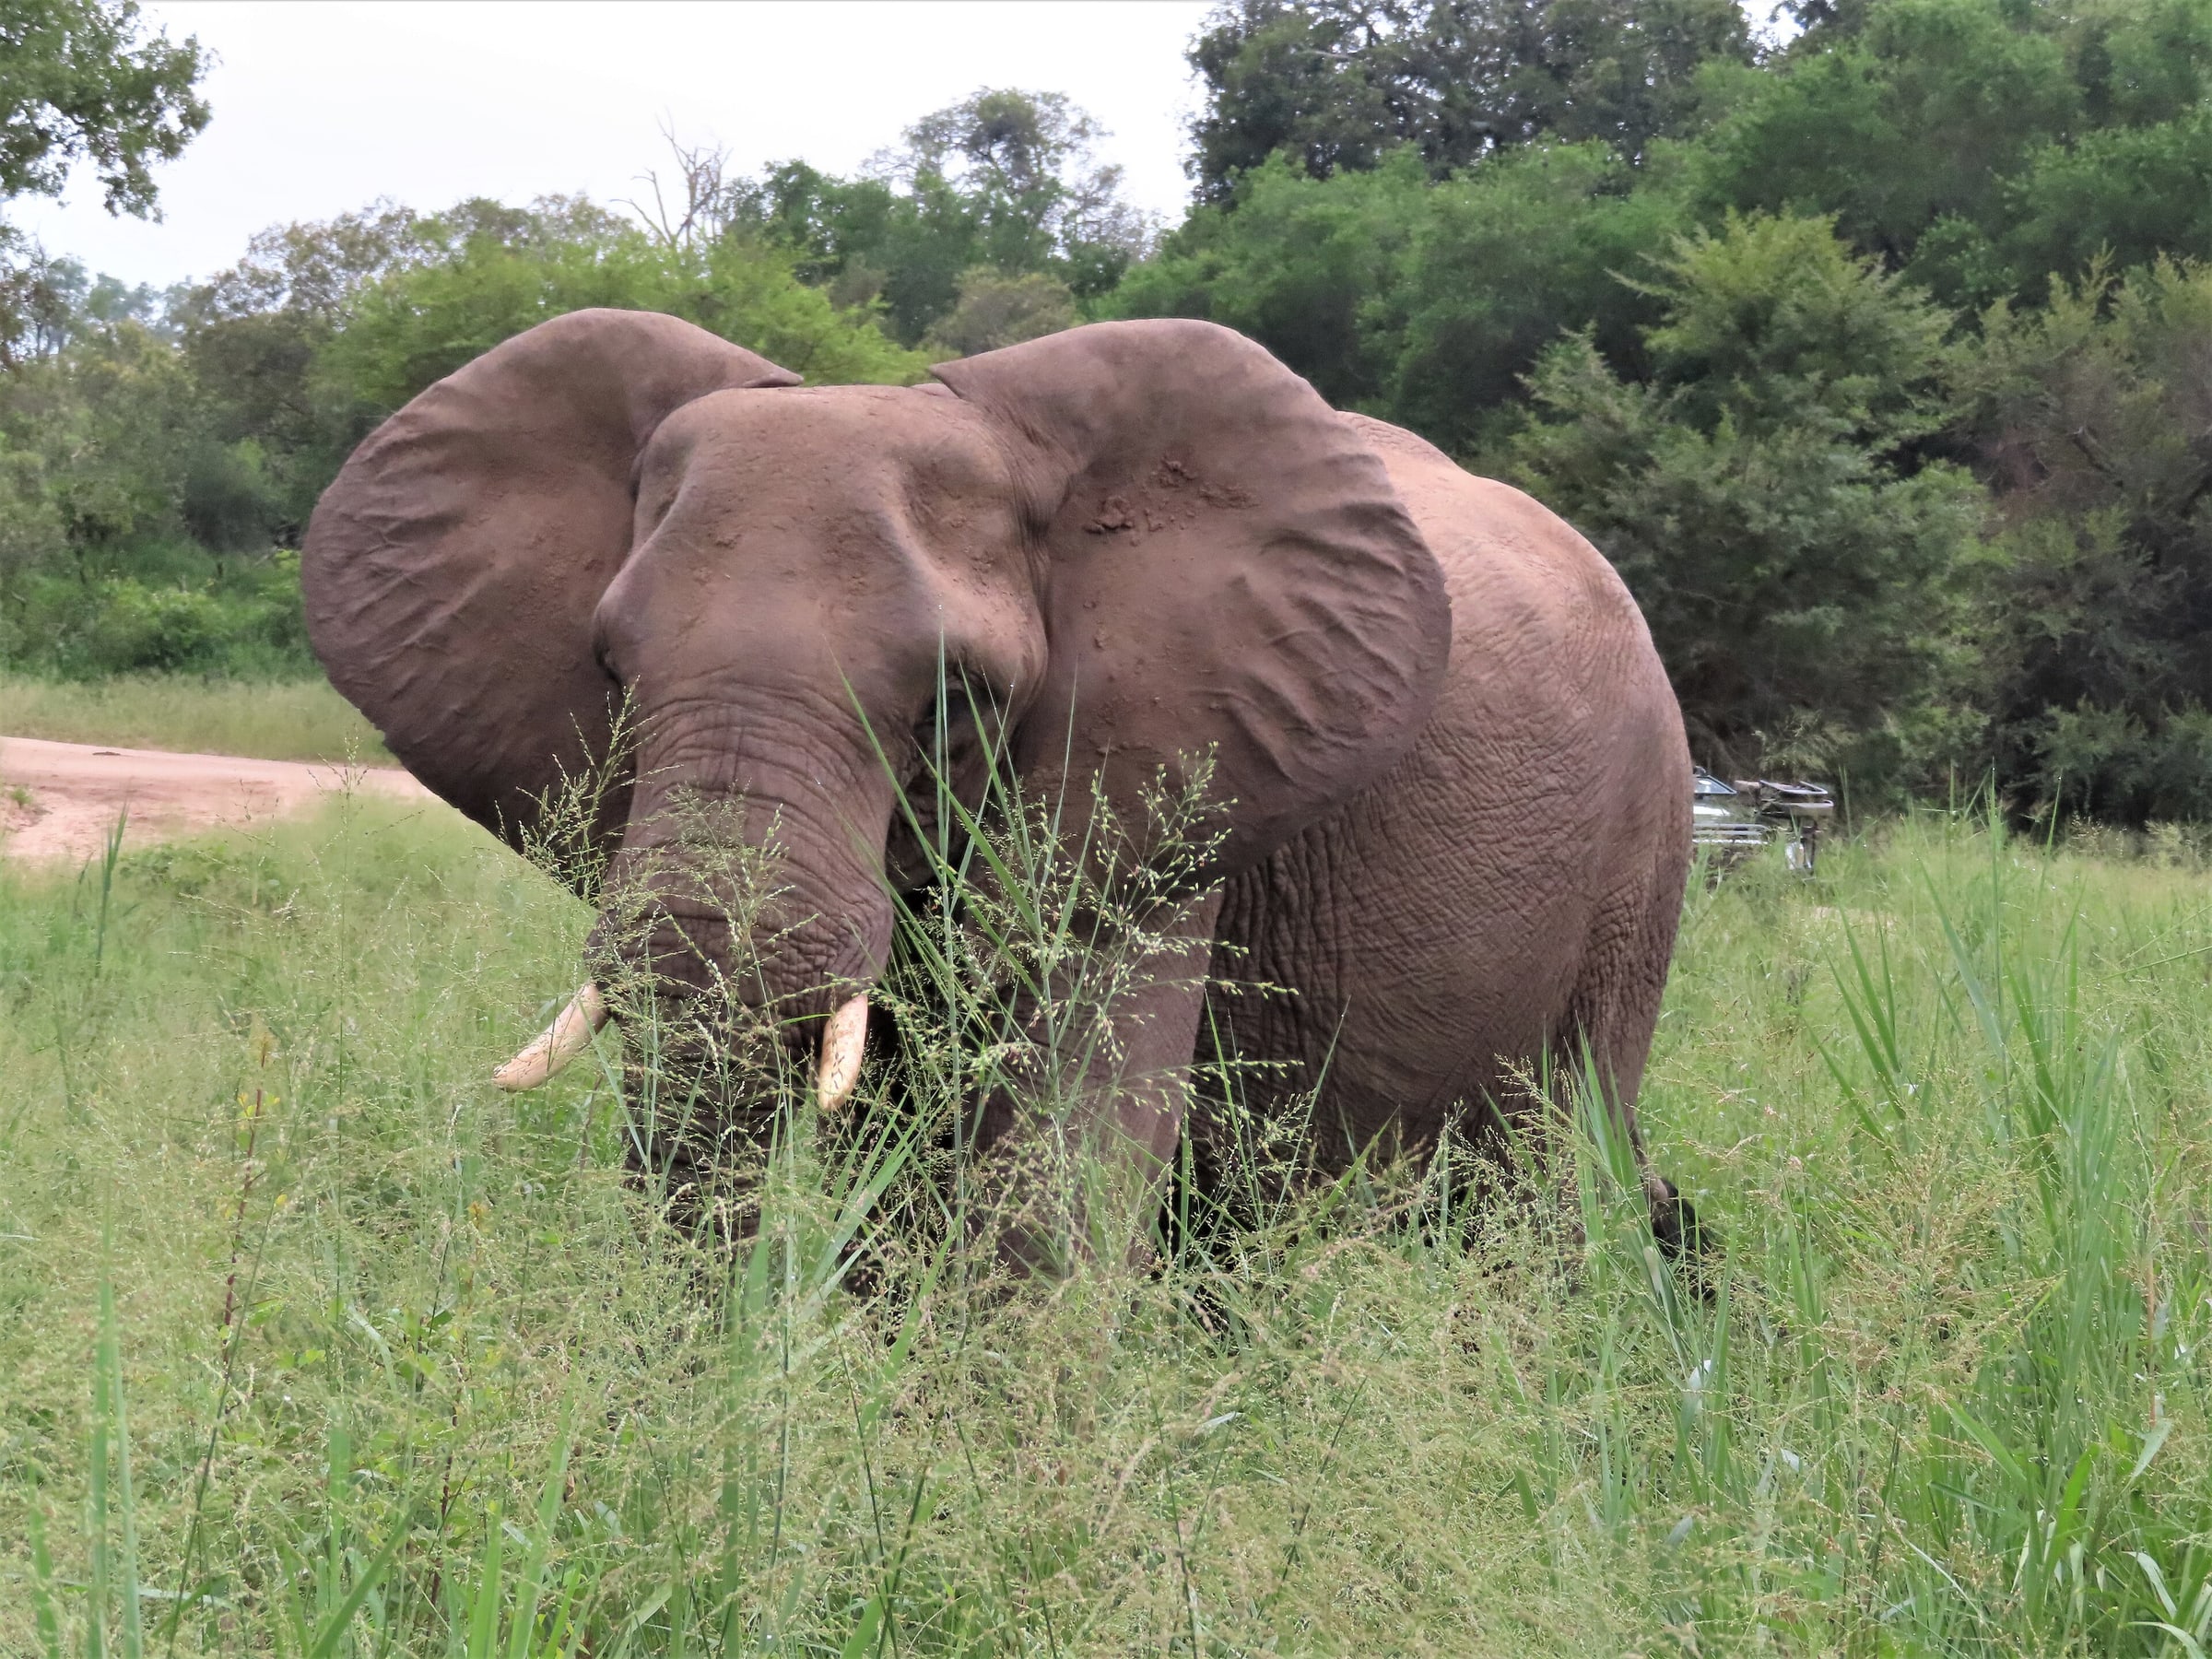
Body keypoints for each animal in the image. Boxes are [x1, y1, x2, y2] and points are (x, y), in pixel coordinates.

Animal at [302, 308, 1695, 1266]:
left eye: (953, 699)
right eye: (609, 672)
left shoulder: (1161, 780)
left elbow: (1049, 1184)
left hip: (1643, 862)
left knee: (1548, 1181)